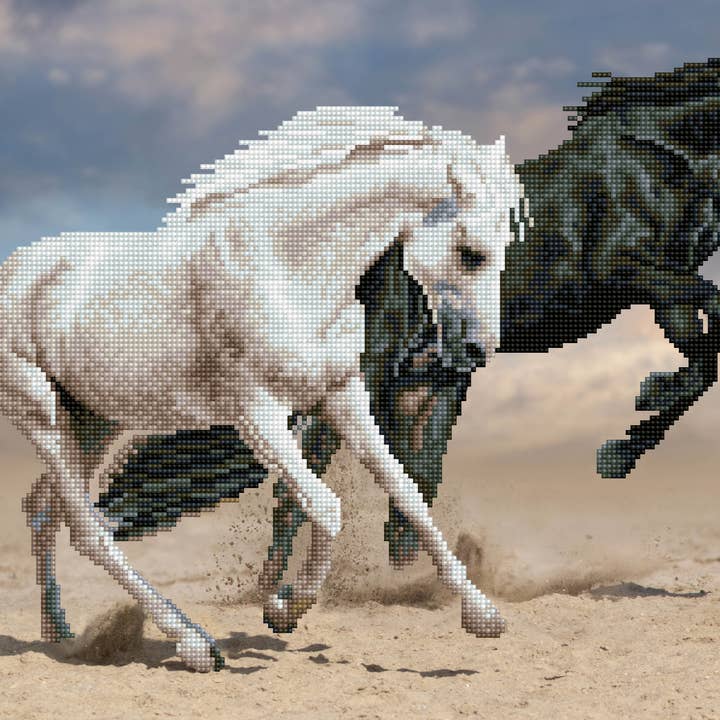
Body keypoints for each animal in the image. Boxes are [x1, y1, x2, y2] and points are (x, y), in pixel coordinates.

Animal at [5, 106, 527, 671]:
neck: (288, 270)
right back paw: (194, 644)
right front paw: (284, 608)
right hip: (42, 416)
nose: (477, 350)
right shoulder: (258, 416)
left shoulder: (341, 395)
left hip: (92, 422)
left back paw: (61, 634)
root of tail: (14, 271)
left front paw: (483, 617)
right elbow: (325, 506)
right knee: (88, 529)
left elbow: (405, 490)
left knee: (44, 512)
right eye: (471, 253)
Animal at [96, 59, 720, 609]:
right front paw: (622, 444)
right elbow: (710, 325)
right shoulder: (627, 271)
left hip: (424, 383)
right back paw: (275, 591)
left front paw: (630, 432)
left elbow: (704, 359)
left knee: (408, 485)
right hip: (370, 379)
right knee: (307, 480)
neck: (658, 157)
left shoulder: (663, 291)